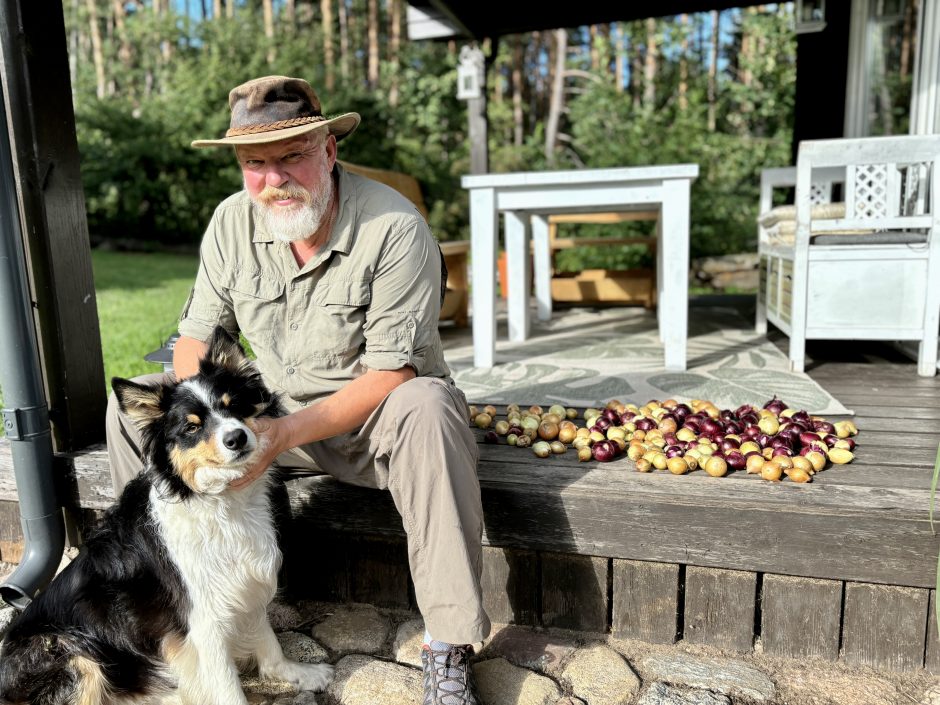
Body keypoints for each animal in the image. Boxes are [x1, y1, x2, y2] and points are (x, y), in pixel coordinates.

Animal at [0, 328, 330, 704]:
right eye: (191, 428)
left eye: (234, 406)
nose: (236, 437)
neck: (219, 500)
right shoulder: (202, 618)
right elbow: (226, 685)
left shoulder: (242, 584)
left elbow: (269, 642)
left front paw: (299, 673)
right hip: (72, 652)